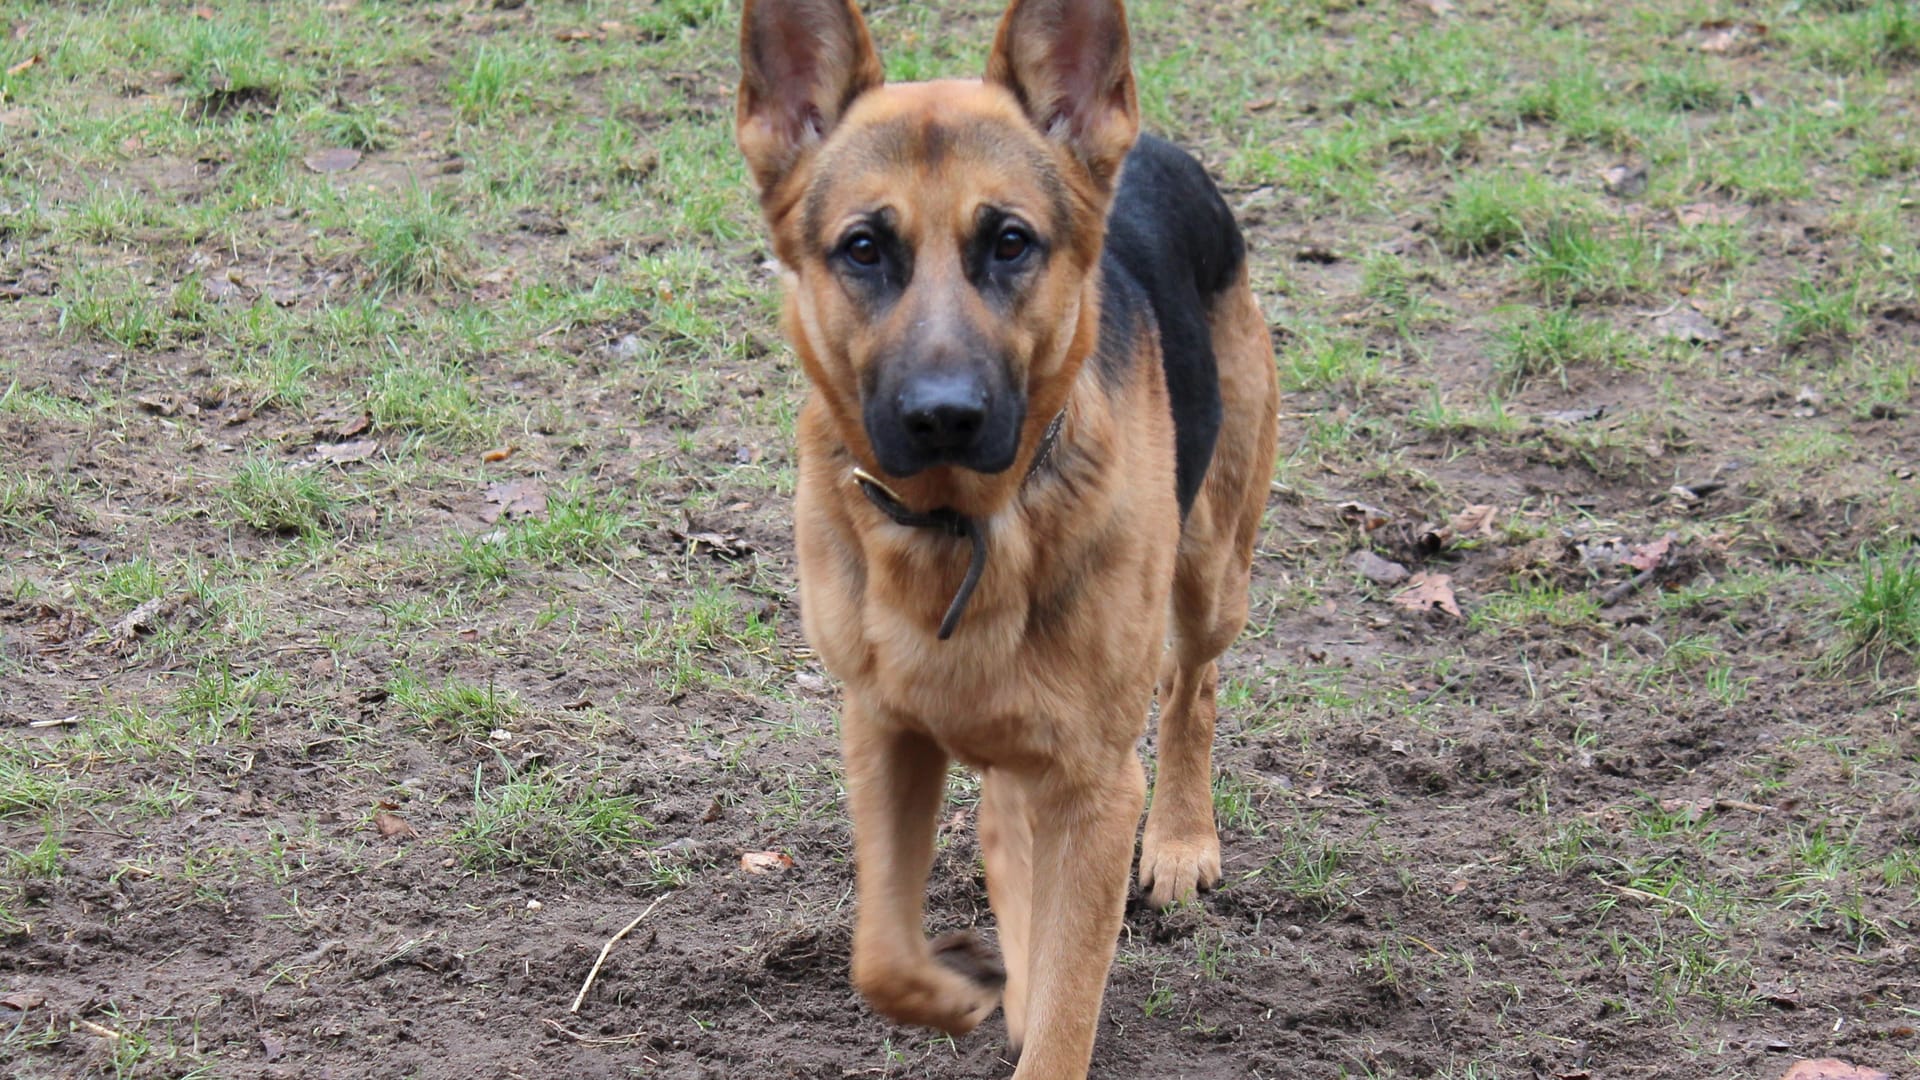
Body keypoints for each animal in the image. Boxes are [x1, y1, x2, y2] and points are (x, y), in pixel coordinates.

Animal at [741, 2, 1282, 1068]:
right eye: (863, 248)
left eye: (1010, 243)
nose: (943, 415)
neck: (960, 525)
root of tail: (1155, 147)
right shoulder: (883, 726)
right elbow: (881, 952)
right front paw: (957, 990)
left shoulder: (1097, 788)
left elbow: (1070, 1006)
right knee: (1006, 814)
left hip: (1211, 573)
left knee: (1192, 686)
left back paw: (1182, 841)